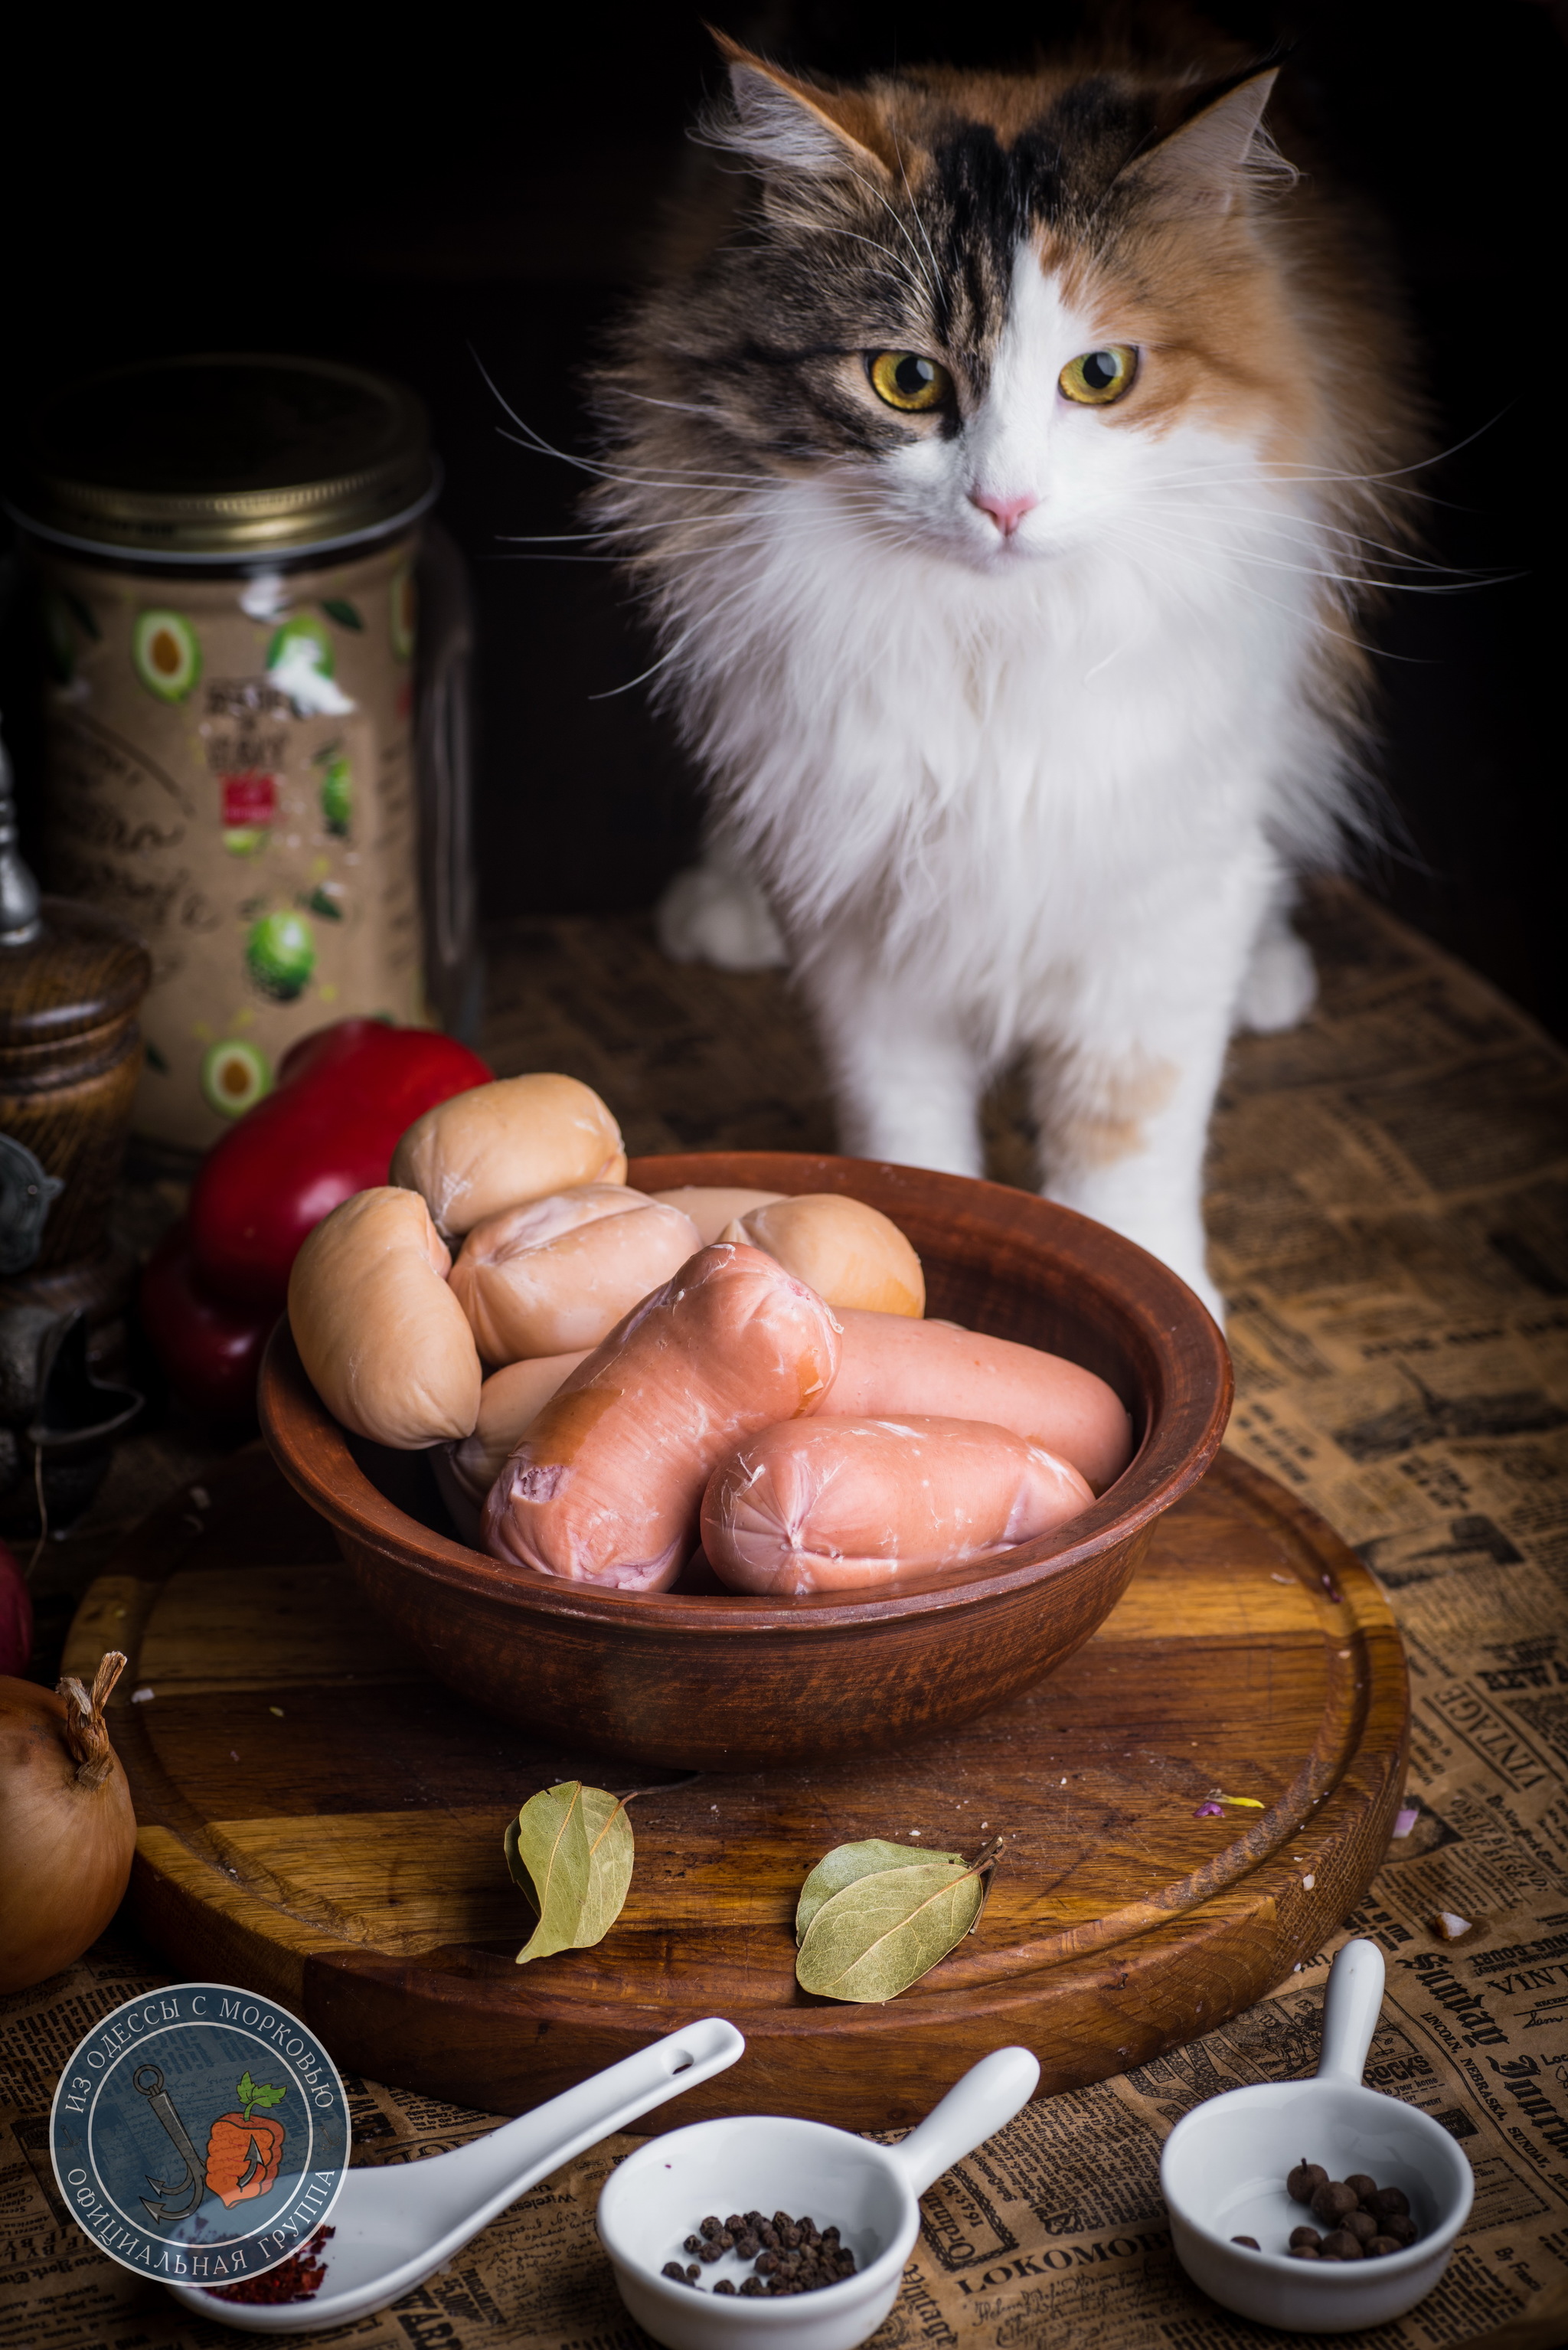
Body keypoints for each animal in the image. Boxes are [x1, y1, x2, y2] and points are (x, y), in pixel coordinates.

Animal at [587, 22, 1419, 1325]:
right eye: (906, 381)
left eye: (1103, 375)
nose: (1006, 504)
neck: (995, 642)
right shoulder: (870, 891)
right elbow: (902, 1117)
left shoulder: (1163, 883)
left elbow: (1128, 1119)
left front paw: (1161, 1275)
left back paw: (1273, 966)